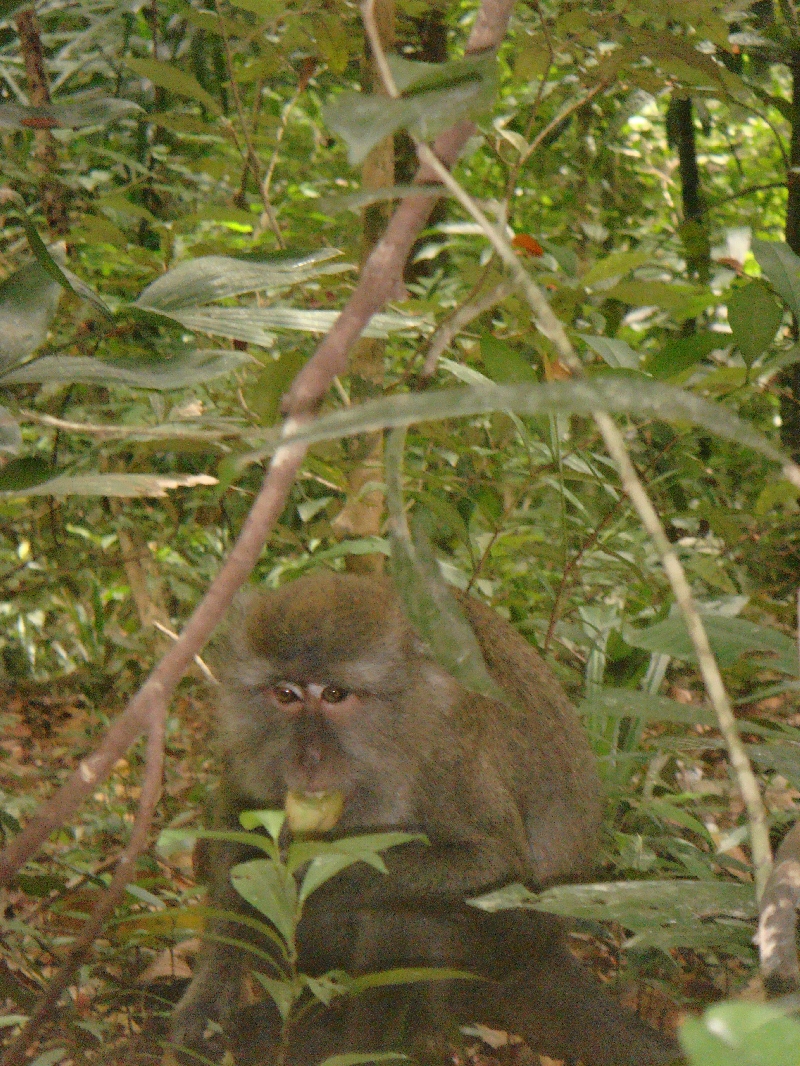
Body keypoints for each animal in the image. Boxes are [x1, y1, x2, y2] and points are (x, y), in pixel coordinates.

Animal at [167, 575, 678, 1066]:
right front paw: (204, 1003)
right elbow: (233, 827)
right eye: (285, 694)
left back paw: (348, 1043)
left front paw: (306, 870)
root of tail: (545, 954)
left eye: (334, 694)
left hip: (495, 953)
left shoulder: (443, 752)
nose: (307, 758)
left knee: (403, 914)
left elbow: (498, 867)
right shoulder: (245, 747)